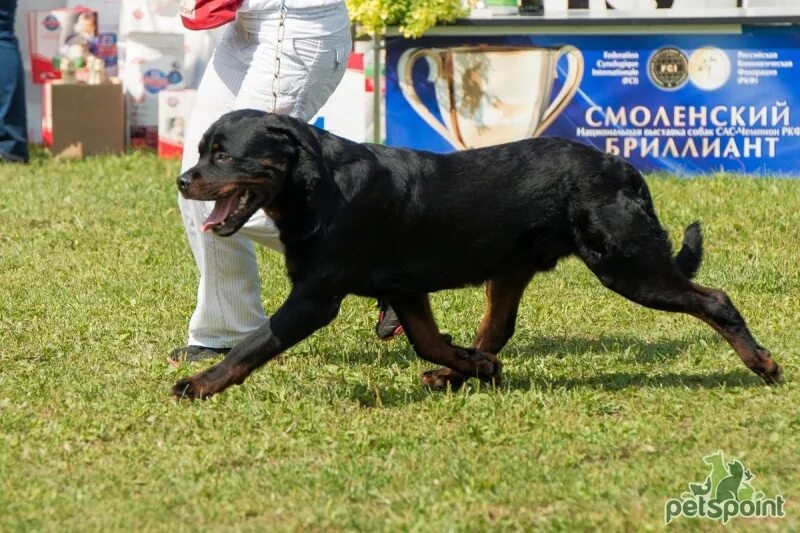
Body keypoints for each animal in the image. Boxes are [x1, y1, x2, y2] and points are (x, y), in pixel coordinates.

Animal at [173, 110, 780, 396]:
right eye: (201, 152)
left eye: (223, 155)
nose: (182, 180)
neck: (315, 188)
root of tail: (624, 165)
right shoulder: (404, 288)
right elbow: (427, 340)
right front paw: (466, 365)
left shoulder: (315, 298)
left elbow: (253, 344)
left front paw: (199, 384)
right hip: (513, 268)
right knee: (498, 328)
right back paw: (465, 372)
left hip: (626, 264)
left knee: (715, 299)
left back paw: (763, 364)